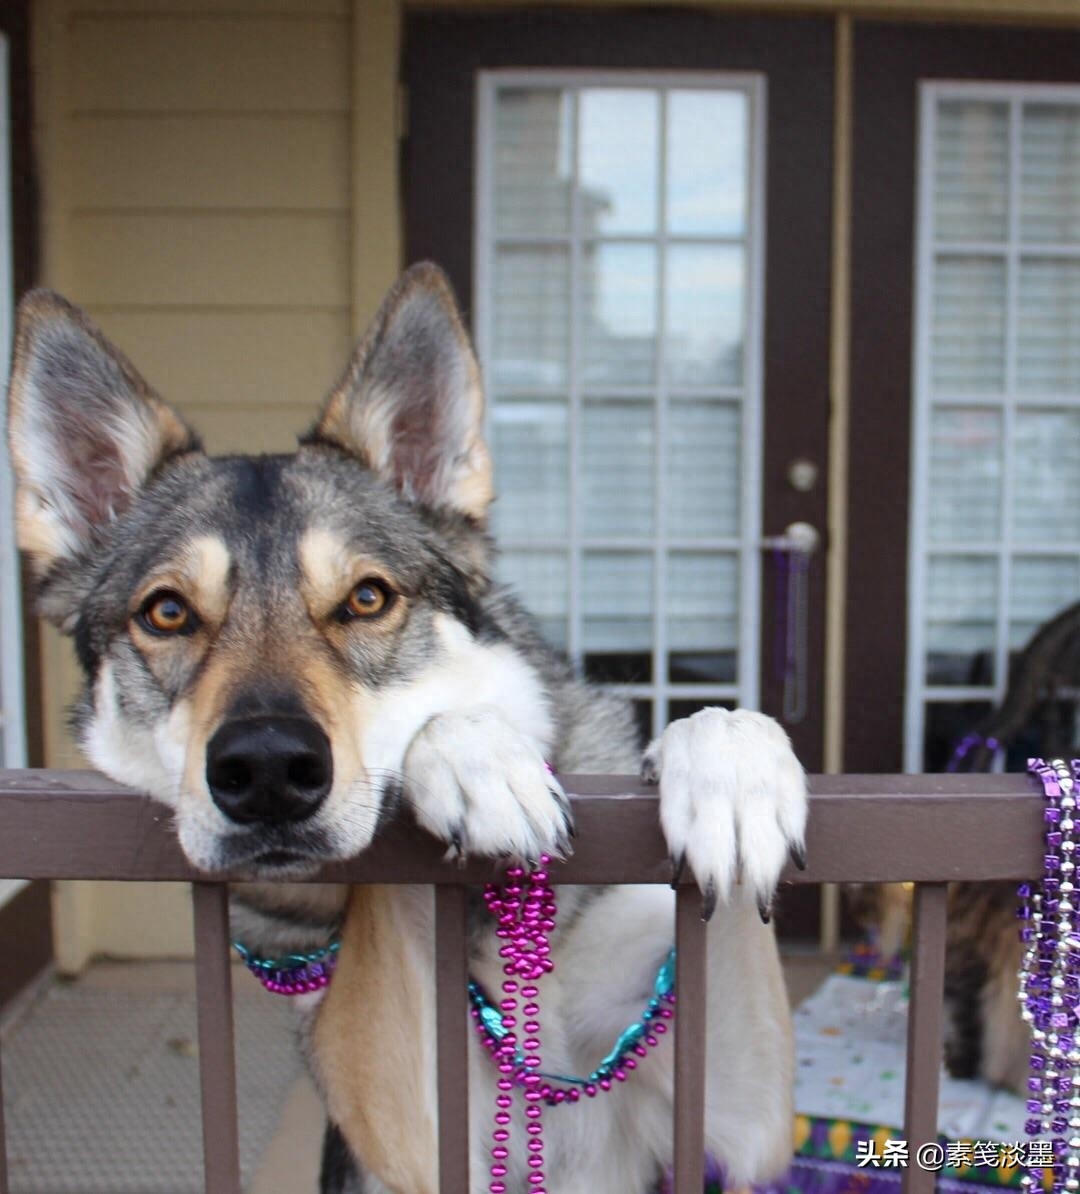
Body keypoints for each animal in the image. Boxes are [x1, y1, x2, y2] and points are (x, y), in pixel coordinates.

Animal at [4, 263, 806, 1194]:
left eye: (367, 598)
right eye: (167, 613)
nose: (268, 769)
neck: (499, 934)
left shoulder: (743, 1121)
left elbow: (723, 773)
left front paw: (731, 770)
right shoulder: (412, 1132)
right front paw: (471, 759)